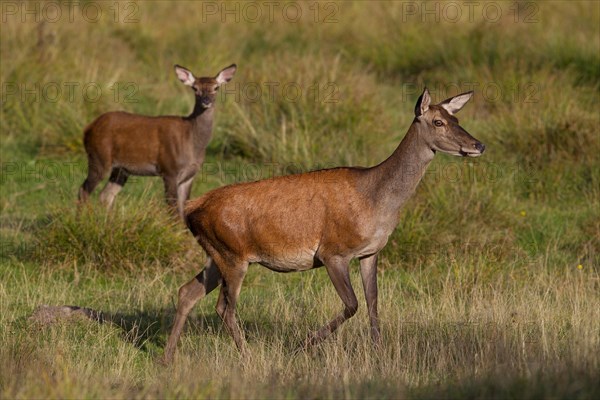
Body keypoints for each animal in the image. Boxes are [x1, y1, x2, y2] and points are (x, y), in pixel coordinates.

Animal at [78, 63, 238, 217]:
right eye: (195, 88)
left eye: (216, 87)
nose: (206, 101)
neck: (192, 141)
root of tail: (88, 128)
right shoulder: (169, 170)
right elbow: (173, 211)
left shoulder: (189, 176)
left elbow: (184, 209)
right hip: (99, 157)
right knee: (83, 191)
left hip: (121, 169)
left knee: (105, 196)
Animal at [162, 88, 486, 362]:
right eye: (437, 122)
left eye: (456, 118)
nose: (478, 144)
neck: (378, 202)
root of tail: (192, 208)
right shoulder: (333, 251)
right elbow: (353, 304)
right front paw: (301, 346)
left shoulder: (370, 252)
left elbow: (373, 304)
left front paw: (379, 355)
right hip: (232, 255)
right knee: (224, 308)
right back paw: (248, 357)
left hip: (216, 255)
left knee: (187, 292)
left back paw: (168, 357)